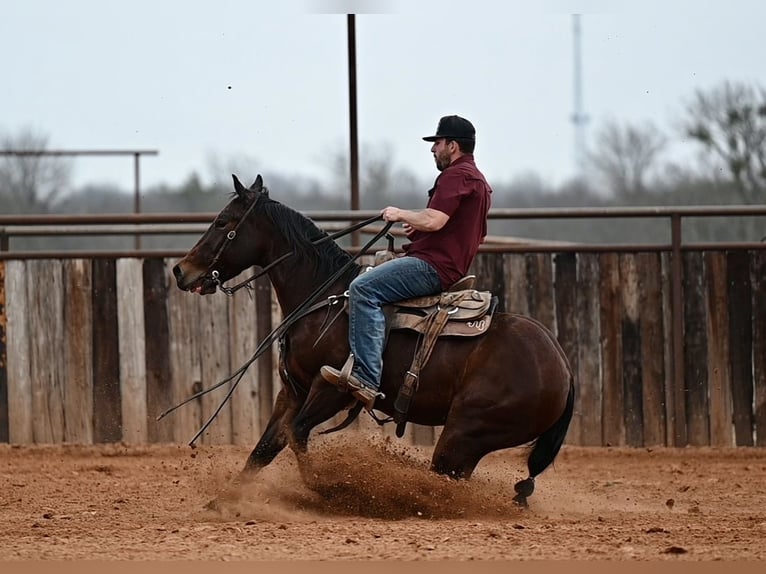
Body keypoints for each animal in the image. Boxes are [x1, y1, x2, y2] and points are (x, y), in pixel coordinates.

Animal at [172, 174, 575, 507]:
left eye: (223, 222)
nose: (180, 270)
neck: (324, 297)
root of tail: (563, 365)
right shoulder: (293, 391)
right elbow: (265, 448)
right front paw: (220, 503)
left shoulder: (332, 389)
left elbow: (297, 434)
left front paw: (328, 491)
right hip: (467, 442)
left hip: (465, 433)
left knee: (446, 481)